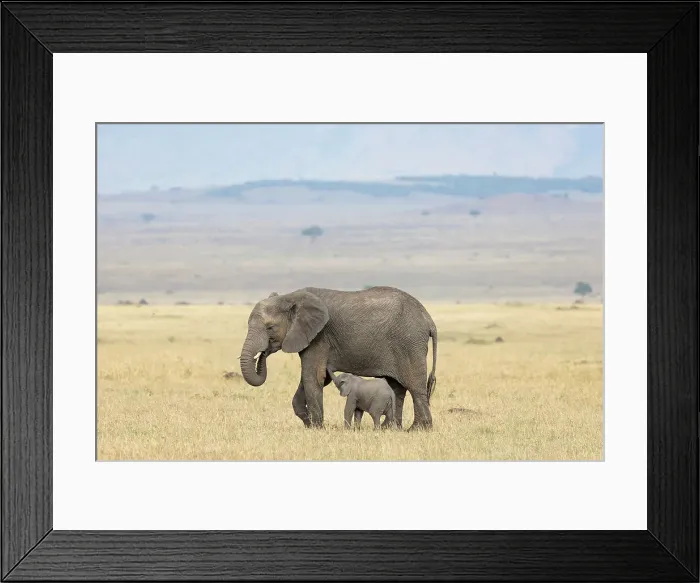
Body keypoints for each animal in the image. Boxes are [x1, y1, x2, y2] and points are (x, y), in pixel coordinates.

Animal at [238, 285, 438, 430]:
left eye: (270, 328)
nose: (262, 354)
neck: (290, 297)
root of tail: (428, 319)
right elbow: (314, 378)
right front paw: (308, 423)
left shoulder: (319, 337)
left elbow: (313, 377)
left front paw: (317, 428)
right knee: (396, 387)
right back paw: (391, 428)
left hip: (409, 343)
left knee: (415, 387)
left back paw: (417, 430)